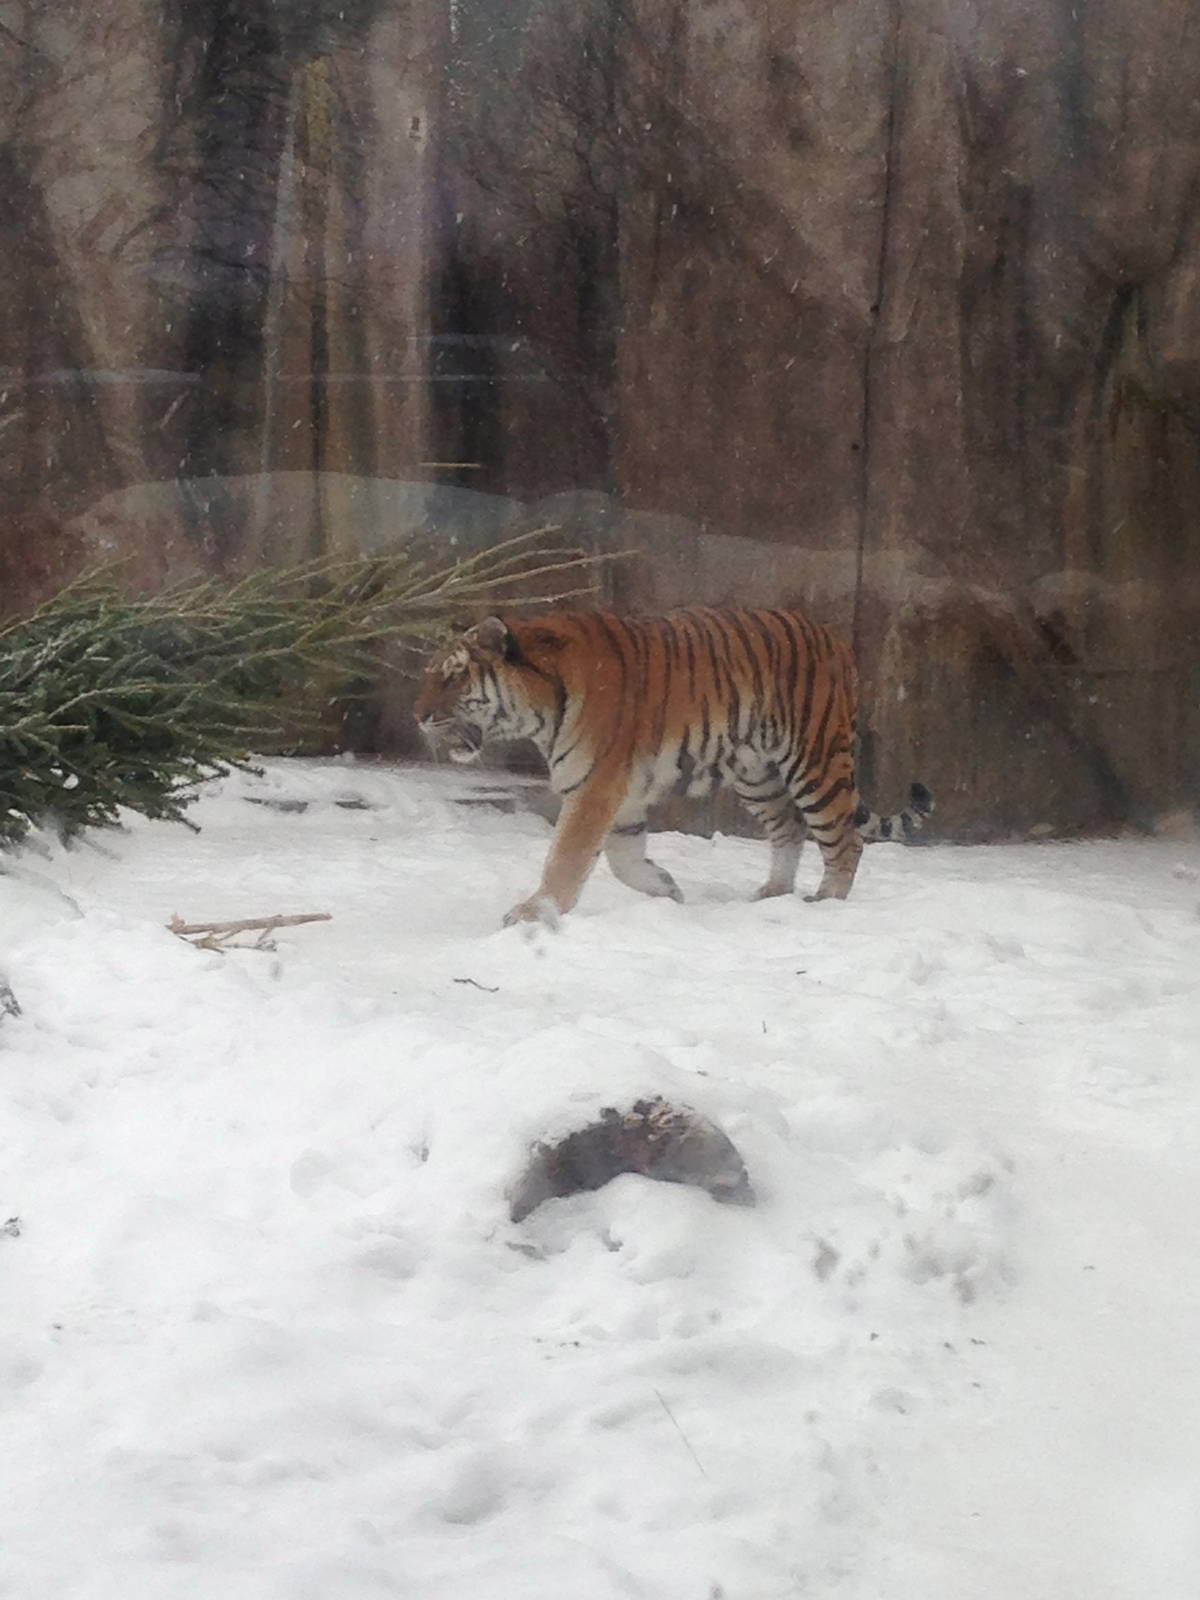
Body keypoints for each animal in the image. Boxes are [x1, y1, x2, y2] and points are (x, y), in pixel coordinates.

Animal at [413, 606, 932, 927]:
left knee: (846, 841)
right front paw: (667, 890)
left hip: (815, 761)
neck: (539, 707)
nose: (418, 716)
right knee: (789, 828)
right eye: (430, 675)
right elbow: (622, 860)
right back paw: (772, 894)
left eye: (454, 676)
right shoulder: (619, 797)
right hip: (757, 775)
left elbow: (566, 857)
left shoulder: (595, 787)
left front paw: (532, 914)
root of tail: (836, 639)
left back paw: (824, 904)